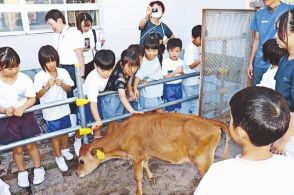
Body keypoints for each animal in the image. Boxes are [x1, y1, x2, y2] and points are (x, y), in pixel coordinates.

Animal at [76, 112, 230, 195]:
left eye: (82, 161)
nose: (77, 173)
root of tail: (211, 122)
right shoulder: (144, 154)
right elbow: (146, 165)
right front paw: (151, 177)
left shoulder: (136, 157)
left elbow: (137, 177)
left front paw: (139, 192)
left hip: (202, 161)